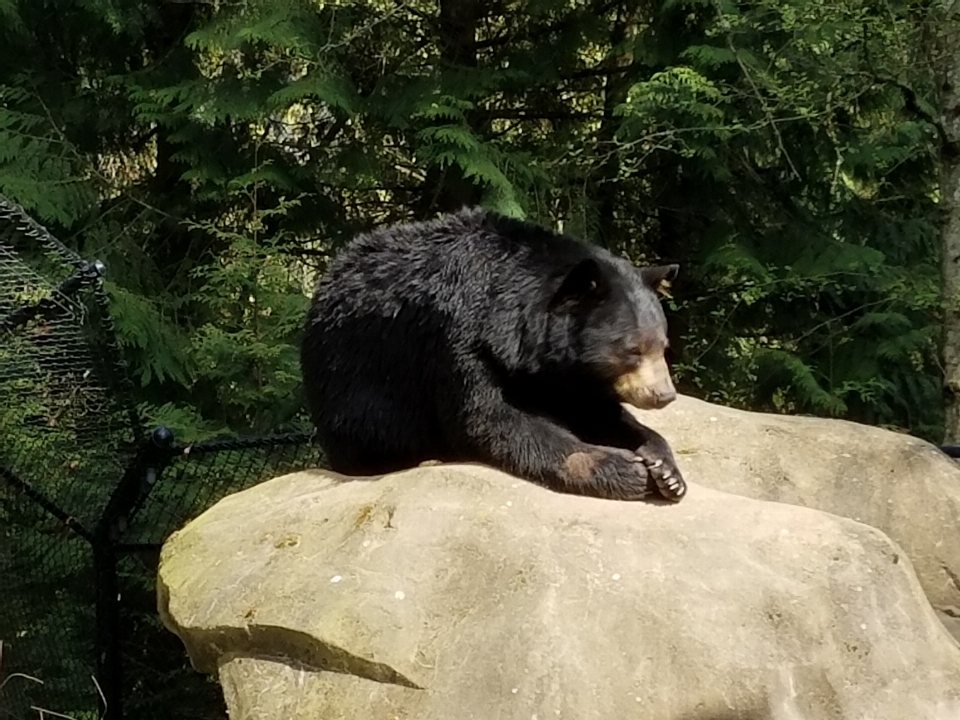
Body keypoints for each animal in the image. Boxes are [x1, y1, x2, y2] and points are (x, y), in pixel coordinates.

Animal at [304, 207, 688, 500]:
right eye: (632, 350)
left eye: (662, 345)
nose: (664, 395)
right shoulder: (458, 337)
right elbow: (493, 418)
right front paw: (626, 469)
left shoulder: (562, 372)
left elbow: (596, 411)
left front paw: (666, 470)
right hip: (352, 380)